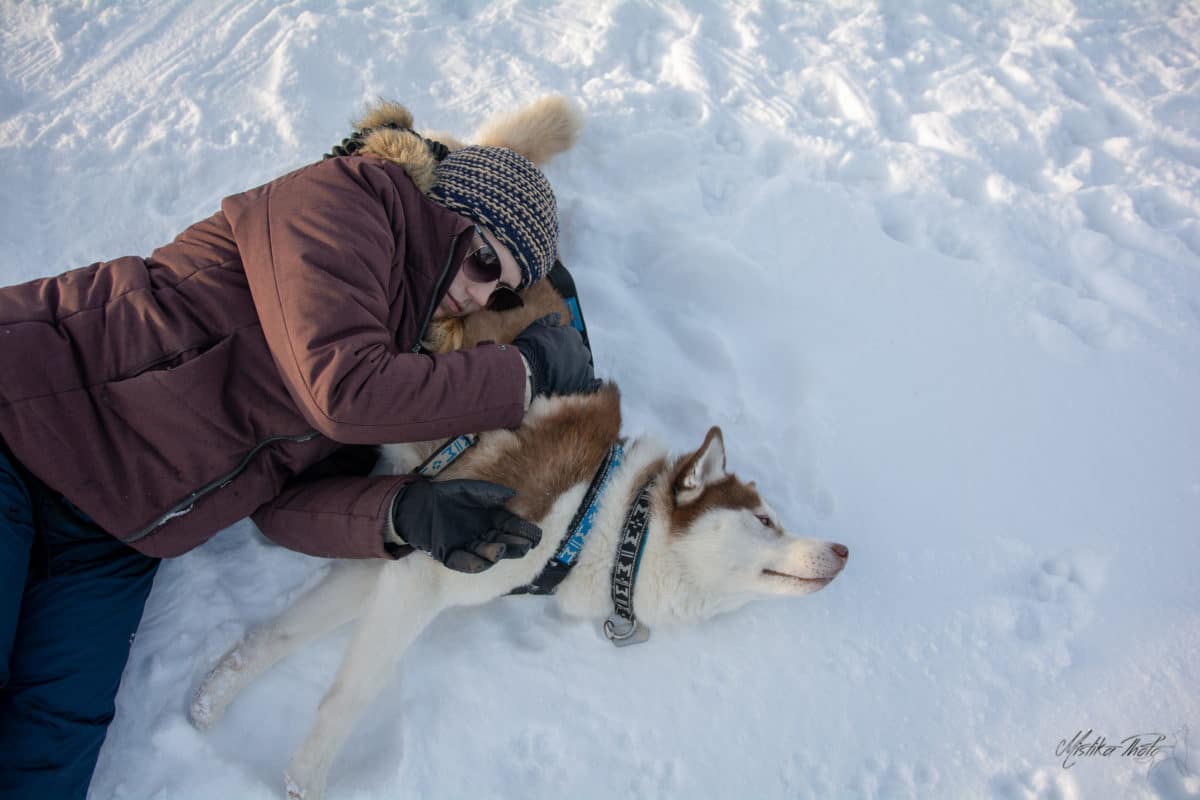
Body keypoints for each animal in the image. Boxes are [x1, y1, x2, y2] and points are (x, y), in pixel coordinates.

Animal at [187, 97, 849, 796]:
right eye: (765, 519)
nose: (842, 550)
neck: (597, 516)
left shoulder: (394, 558)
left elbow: (280, 634)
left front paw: (214, 695)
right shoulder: (426, 574)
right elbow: (351, 693)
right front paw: (305, 778)